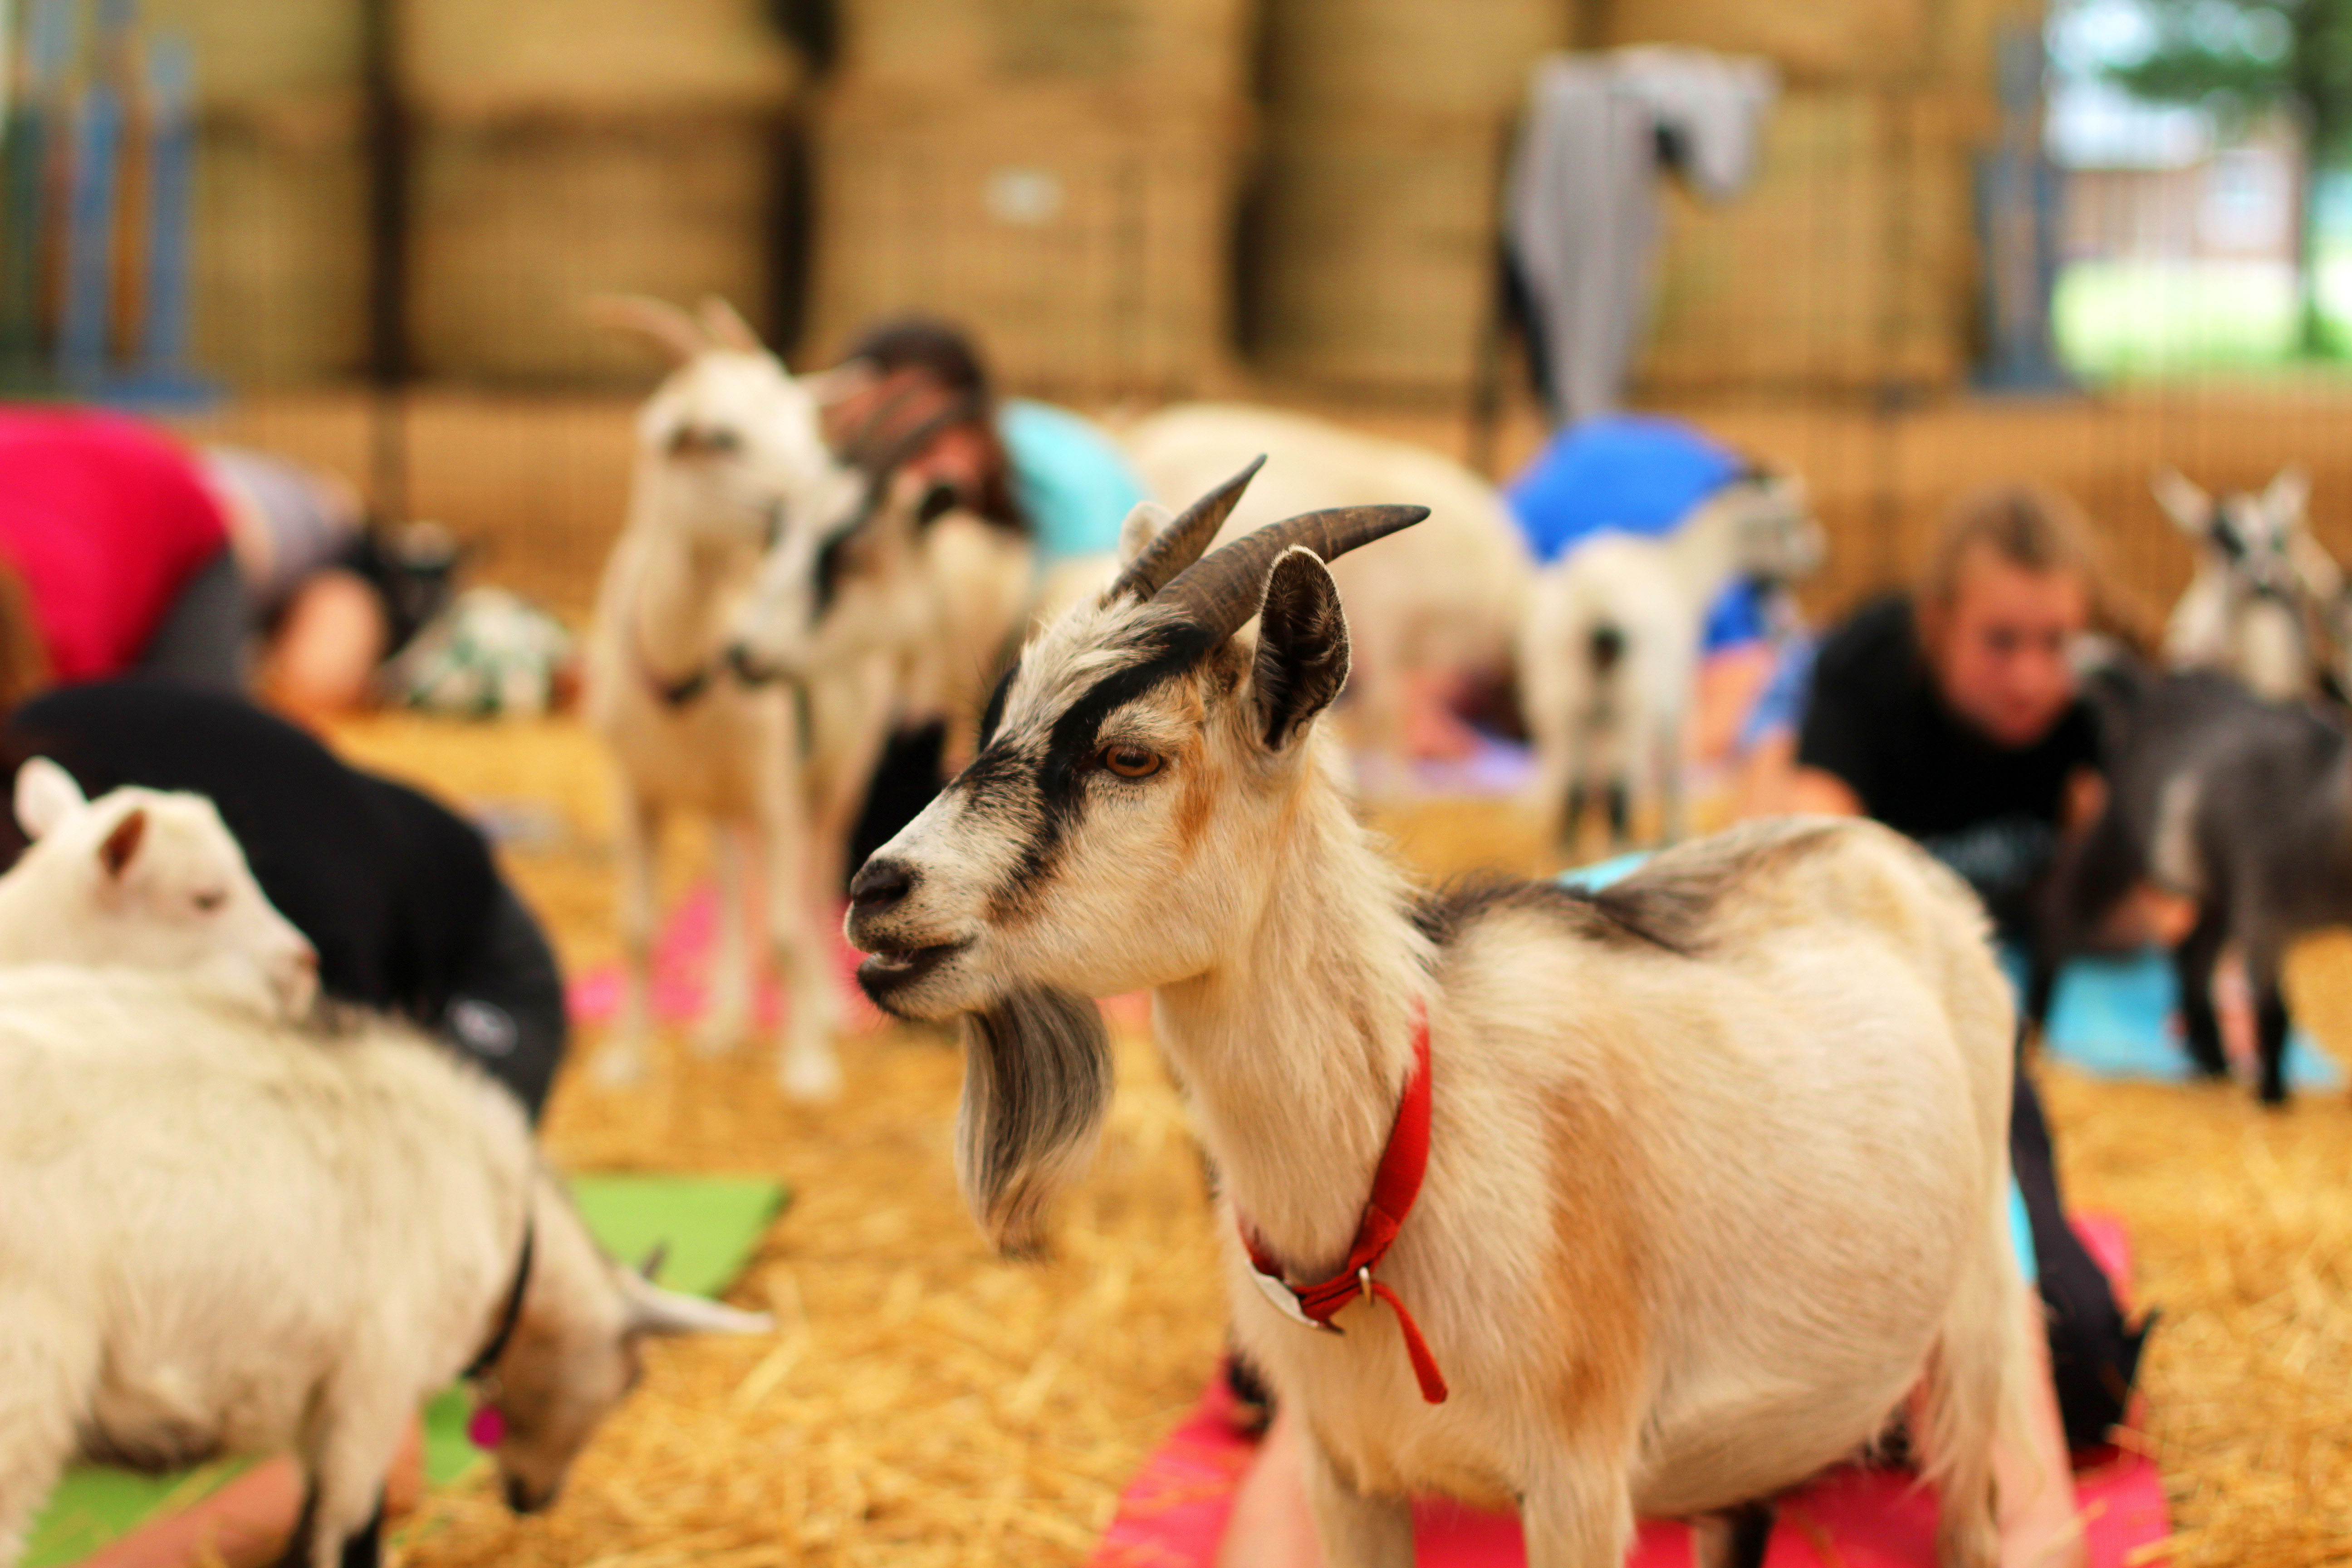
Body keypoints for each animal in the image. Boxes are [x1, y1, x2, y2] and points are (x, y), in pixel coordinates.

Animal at [0, 966, 768, 1568]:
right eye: (632, 1381)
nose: (536, 1500)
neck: (500, 1229)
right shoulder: (372, 1384)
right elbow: (339, 1531)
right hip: (28, 1389)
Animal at [1517, 473, 1821, 847]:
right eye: (1789, 521)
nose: (1817, 558)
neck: (1681, 569)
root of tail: (1595, 601)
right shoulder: (1675, 694)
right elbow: (1674, 767)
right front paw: (1675, 833)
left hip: (1562, 698)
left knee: (1572, 790)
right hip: (1631, 701)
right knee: (1619, 792)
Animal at [2047, 660, 2352, 1105]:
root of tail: (2144, 694)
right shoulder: (2263, 910)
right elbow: (2274, 1013)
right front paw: (2272, 1096)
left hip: (2218, 893)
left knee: (2191, 954)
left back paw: (2214, 1060)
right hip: (2127, 834)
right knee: (2066, 906)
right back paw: (2035, 1025)